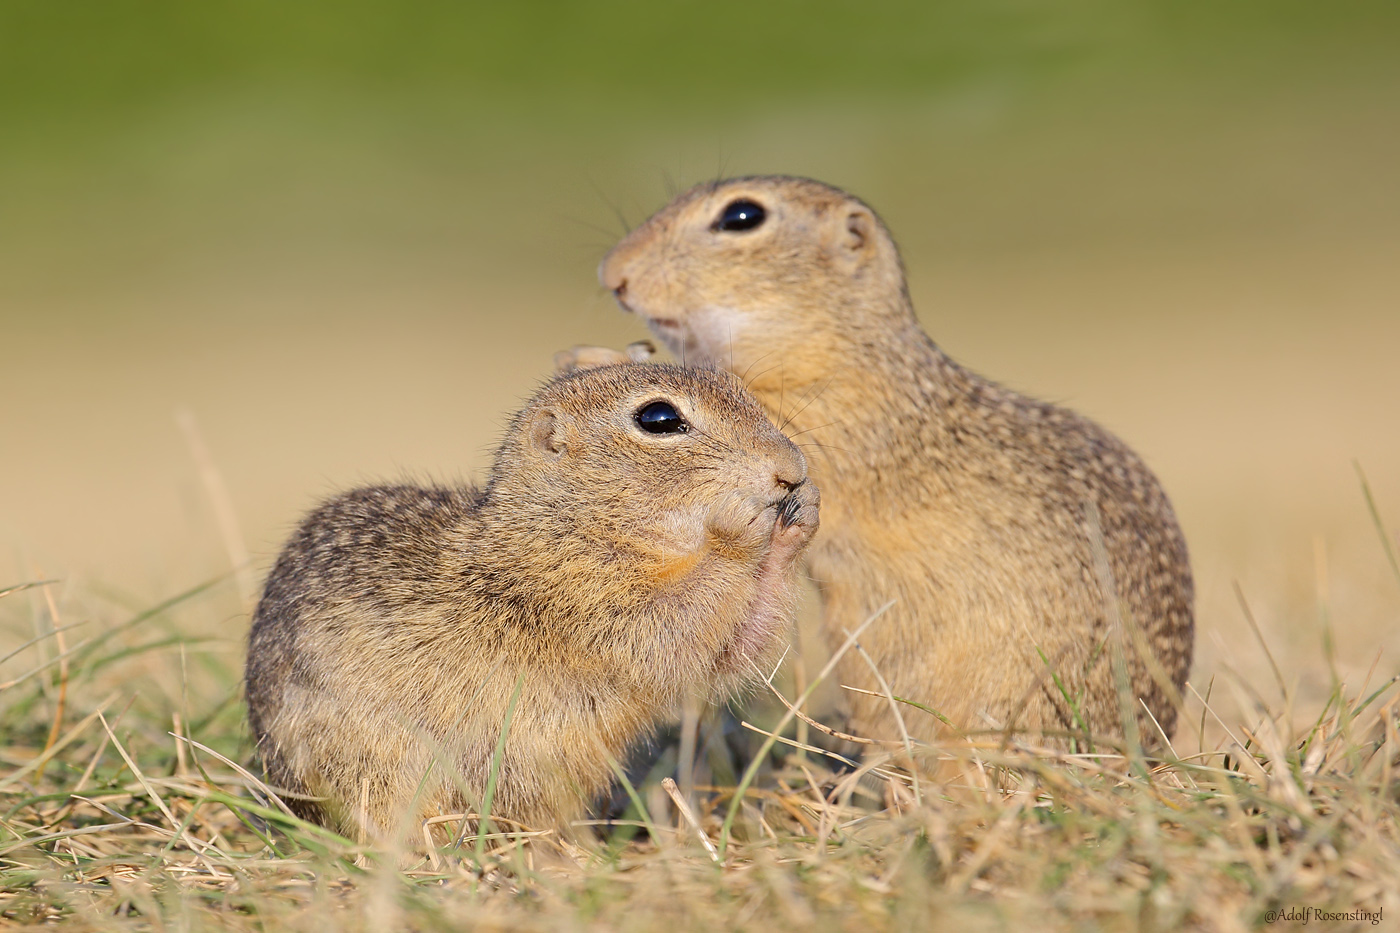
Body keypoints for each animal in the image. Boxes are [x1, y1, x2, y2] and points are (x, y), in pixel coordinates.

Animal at [245, 361, 817, 834]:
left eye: (741, 389)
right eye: (658, 418)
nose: (793, 468)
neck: (569, 522)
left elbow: (727, 651)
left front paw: (799, 520)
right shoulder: (579, 595)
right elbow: (668, 625)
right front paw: (742, 524)